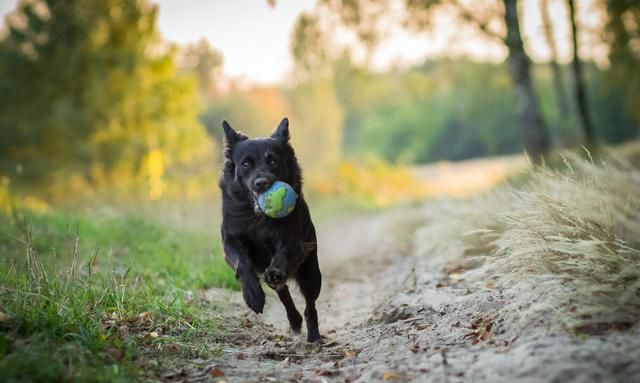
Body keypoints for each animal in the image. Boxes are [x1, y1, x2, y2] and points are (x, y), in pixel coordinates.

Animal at [220, 117, 322, 342]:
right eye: (246, 164)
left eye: (273, 161)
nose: (262, 183)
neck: (257, 218)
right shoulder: (230, 239)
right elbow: (242, 263)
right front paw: (253, 295)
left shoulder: (292, 240)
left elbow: (282, 254)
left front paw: (275, 271)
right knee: (283, 293)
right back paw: (294, 320)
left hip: (311, 274)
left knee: (310, 306)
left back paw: (314, 335)